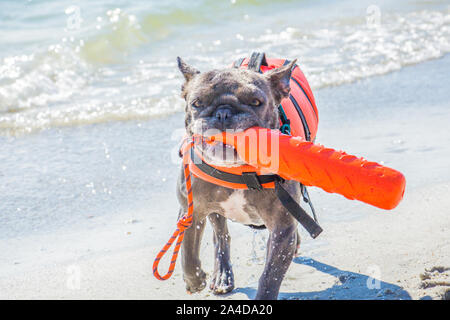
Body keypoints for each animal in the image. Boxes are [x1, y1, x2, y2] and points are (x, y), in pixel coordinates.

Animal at [176, 55, 302, 300]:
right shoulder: (190, 210)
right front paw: (195, 280)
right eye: (197, 103)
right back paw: (222, 275)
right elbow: (188, 252)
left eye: (256, 102)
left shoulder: (282, 227)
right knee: (221, 234)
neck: (237, 169)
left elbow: (270, 275)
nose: (223, 113)